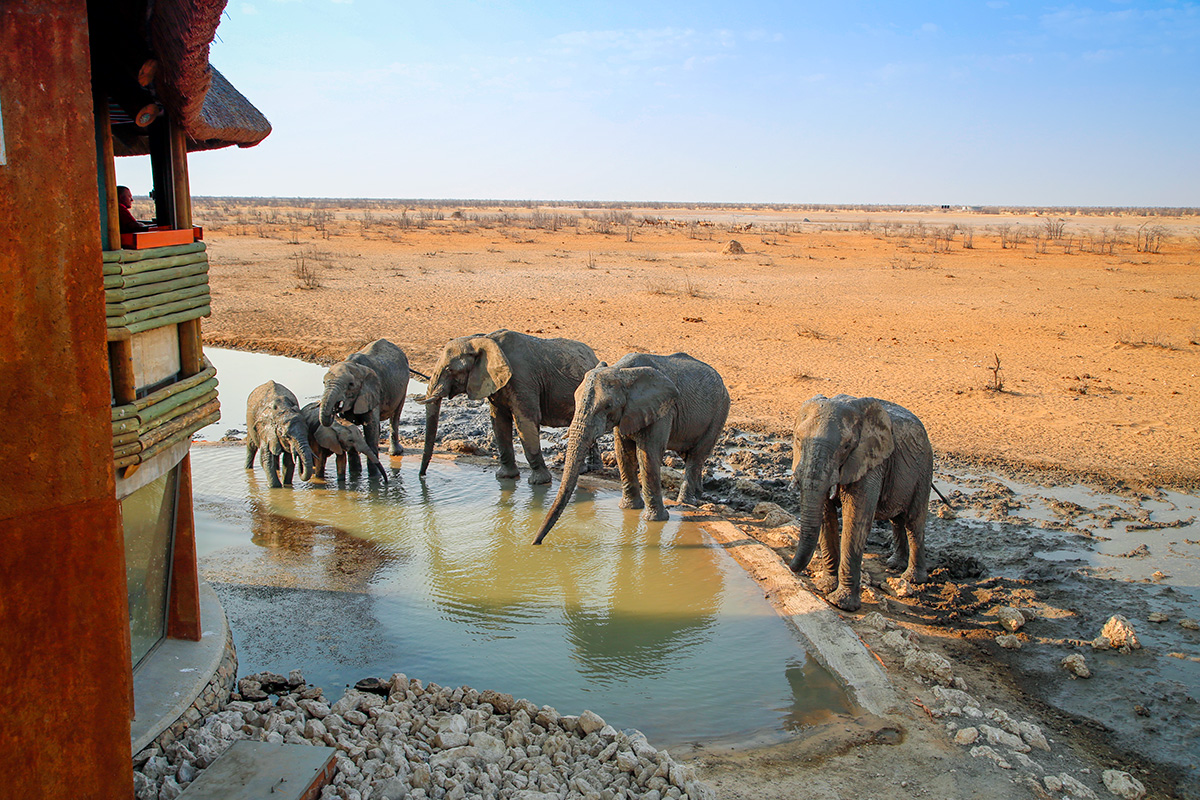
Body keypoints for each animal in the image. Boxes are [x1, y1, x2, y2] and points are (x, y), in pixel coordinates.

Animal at [319, 335, 412, 482]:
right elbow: (349, 429)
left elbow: (371, 429)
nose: (335, 409)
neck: (353, 365)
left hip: (403, 386)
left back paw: (395, 452)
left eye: (350, 384)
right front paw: (355, 476)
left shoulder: (372, 392)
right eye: (324, 382)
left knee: (396, 415)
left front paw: (374, 479)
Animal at [420, 328, 600, 484]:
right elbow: (499, 421)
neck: (484, 339)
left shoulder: (523, 378)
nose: (422, 476)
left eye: (450, 370)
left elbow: (525, 422)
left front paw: (539, 482)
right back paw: (589, 469)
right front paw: (505, 477)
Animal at [535, 350, 729, 544]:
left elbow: (648, 454)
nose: (536, 543)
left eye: (608, 406)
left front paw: (656, 520)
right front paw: (629, 509)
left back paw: (685, 502)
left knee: (696, 456)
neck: (621, 371)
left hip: (719, 411)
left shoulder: (662, 409)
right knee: (690, 456)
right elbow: (623, 451)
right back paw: (697, 497)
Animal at [787, 395, 936, 614]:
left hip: (924, 467)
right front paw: (825, 587)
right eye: (798, 439)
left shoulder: (870, 461)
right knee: (897, 519)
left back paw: (913, 578)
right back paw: (894, 564)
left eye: (846, 446)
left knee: (913, 522)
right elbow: (825, 515)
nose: (790, 566)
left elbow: (855, 519)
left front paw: (840, 603)